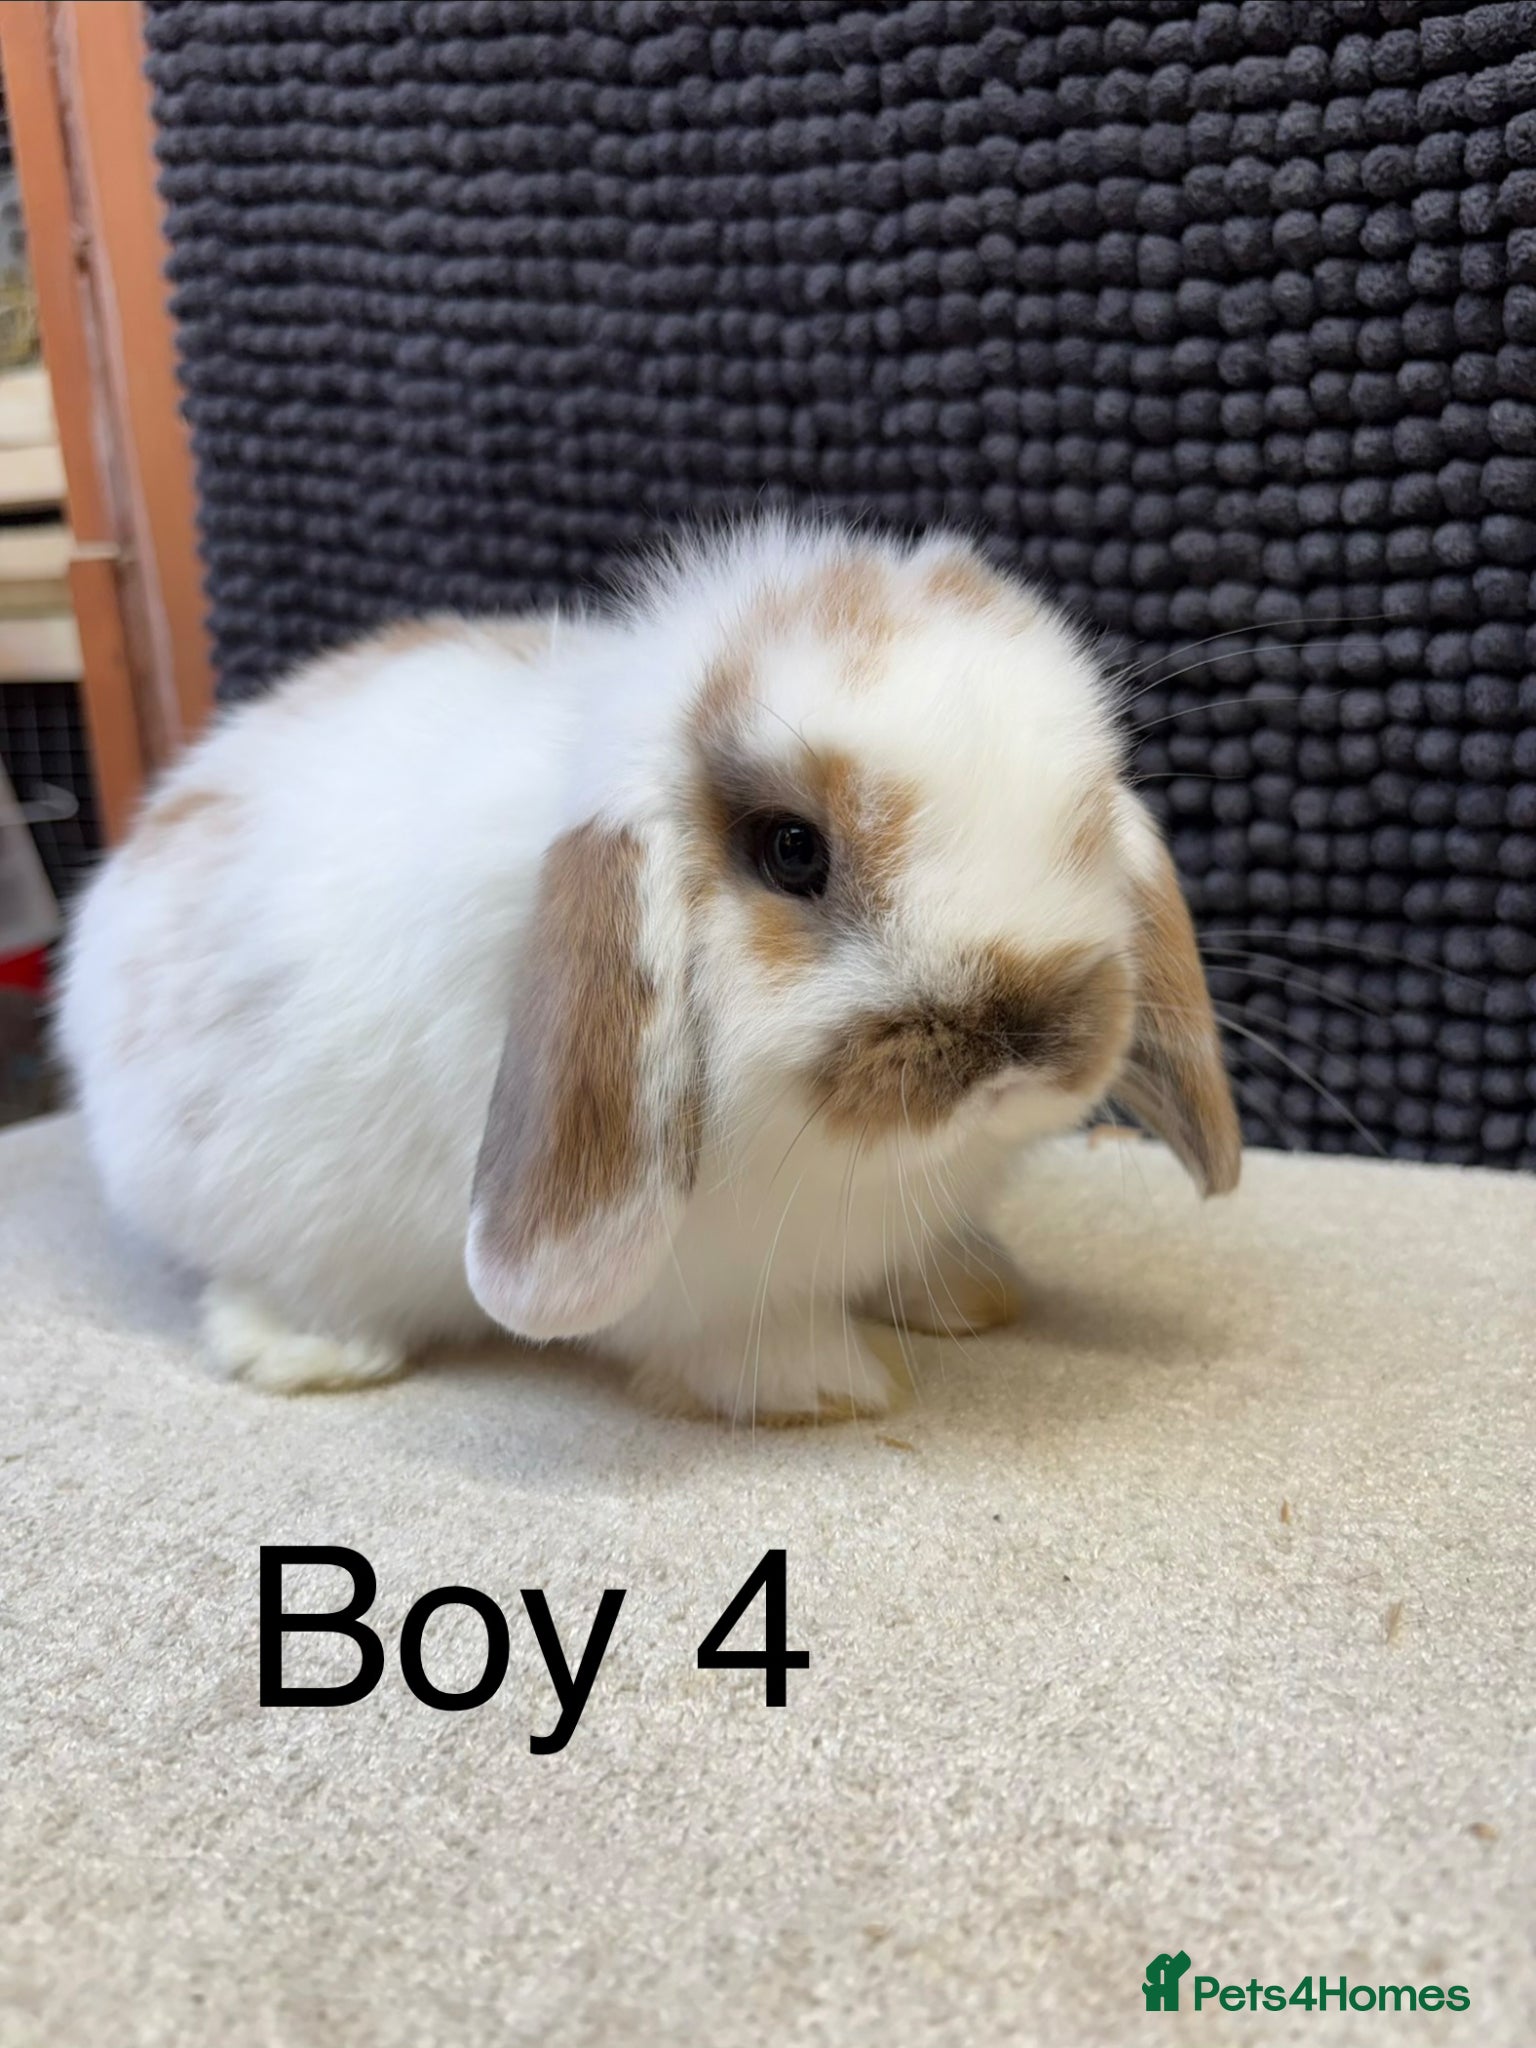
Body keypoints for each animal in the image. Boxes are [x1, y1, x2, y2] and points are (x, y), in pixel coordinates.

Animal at [59, 519, 1240, 1422]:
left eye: (1083, 827)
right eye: (792, 849)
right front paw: (836, 1383)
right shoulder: (692, 1284)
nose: (1025, 1036)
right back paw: (309, 1354)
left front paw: (971, 1289)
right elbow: (727, 1338)